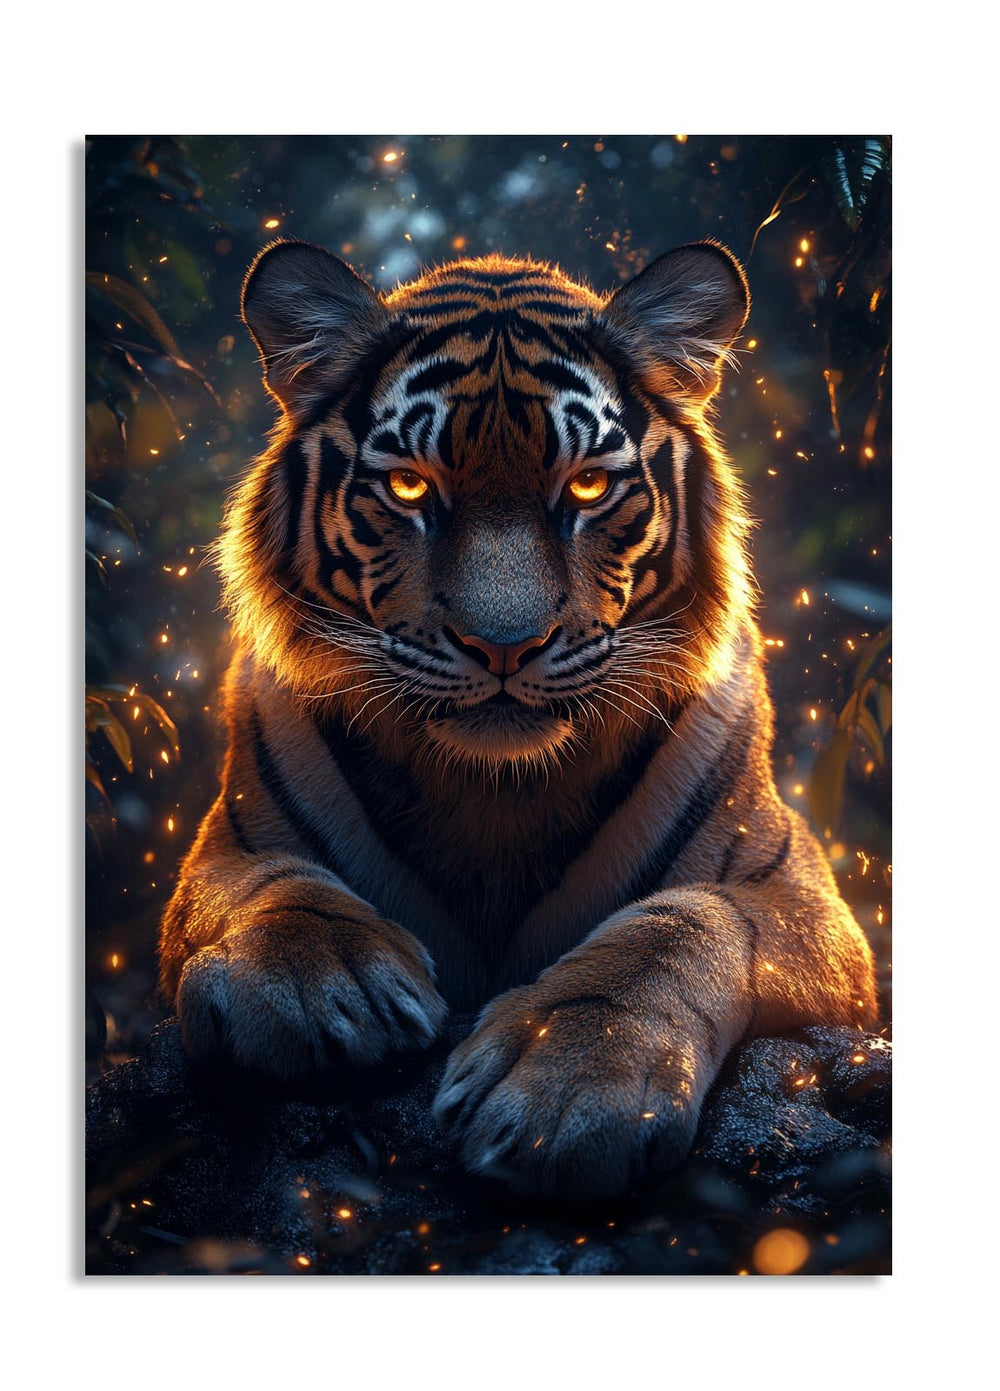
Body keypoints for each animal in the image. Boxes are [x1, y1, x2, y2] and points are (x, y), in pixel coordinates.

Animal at [158, 238, 877, 1201]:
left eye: (587, 485)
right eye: (408, 485)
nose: (505, 645)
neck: (493, 794)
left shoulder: (795, 892)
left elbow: (683, 921)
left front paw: (571, 1083)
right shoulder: (226, 845)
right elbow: (271, 883)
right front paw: (312, 982)